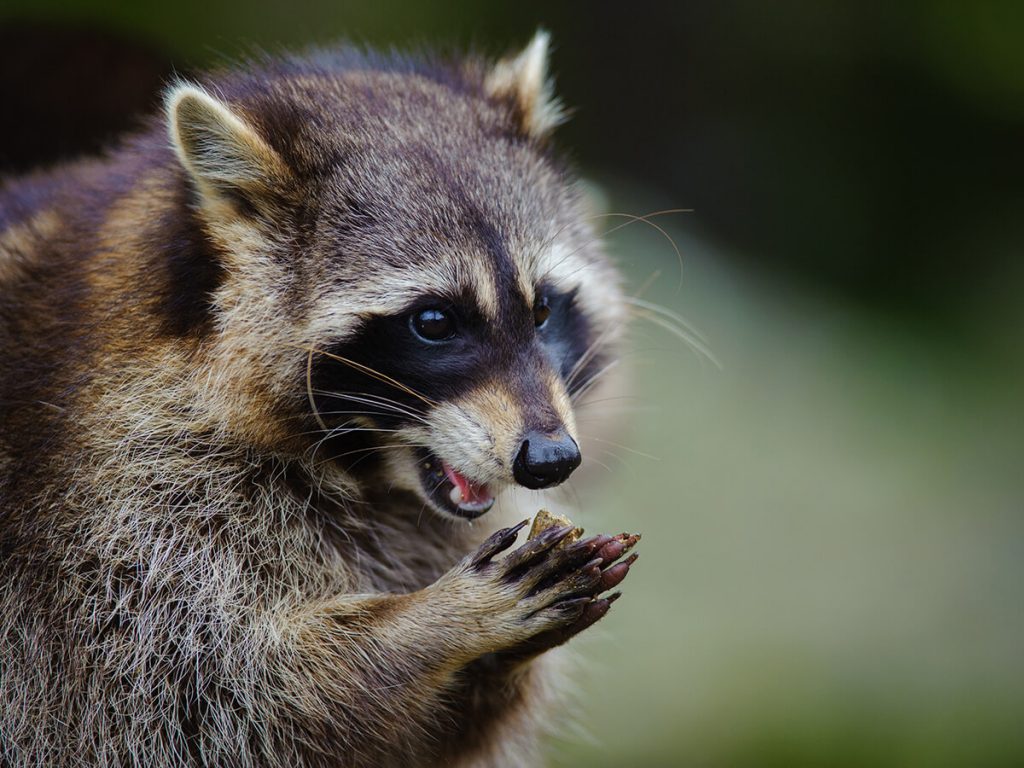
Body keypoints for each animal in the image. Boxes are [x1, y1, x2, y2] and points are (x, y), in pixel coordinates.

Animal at [0, 31, 634, 768]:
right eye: (434, 322)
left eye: (543, 310)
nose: (551, 459)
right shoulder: (110, 517)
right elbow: (224, 699)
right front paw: (436, 624)